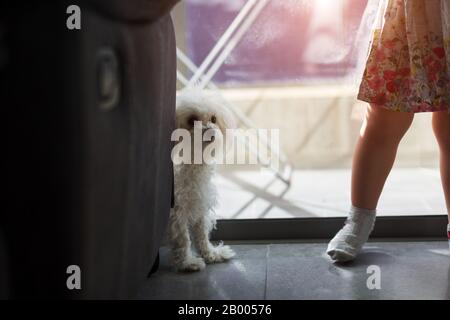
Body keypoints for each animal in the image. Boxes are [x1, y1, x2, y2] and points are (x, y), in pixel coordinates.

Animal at [169, 89, 237, 272]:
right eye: (192, 120)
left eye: (213, 119)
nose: (211, 131)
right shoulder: (177, 210)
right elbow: (183, 239)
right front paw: (187, 262)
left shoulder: (199, 201)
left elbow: (201, 233)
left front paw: (211, 254)